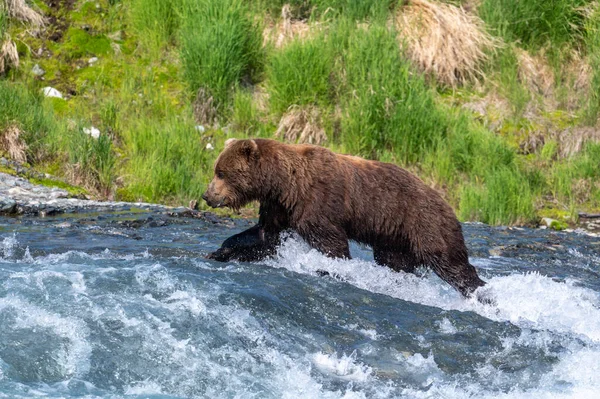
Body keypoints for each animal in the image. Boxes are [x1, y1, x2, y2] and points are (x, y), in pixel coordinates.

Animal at [204, 139, 486, 298]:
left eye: (221, 172)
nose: (207, 195)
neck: (283, 184)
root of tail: (449, 204)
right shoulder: (279, 207)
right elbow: (264, 236)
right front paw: (219, 251)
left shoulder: (317, 203)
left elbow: (330, 243)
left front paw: (329, 269)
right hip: (395, 238)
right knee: (397, 263)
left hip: (424, 222)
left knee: (451, 262)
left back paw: (481, 292)